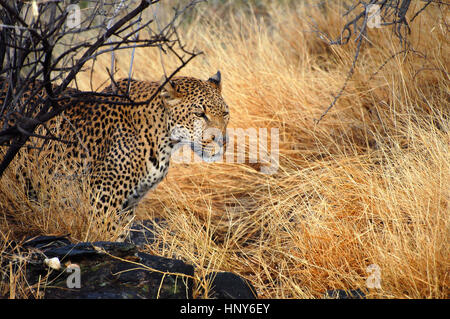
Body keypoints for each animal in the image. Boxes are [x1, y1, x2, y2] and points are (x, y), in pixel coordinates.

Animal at [0, 72, 230, 240]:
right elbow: (107, 239)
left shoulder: (128, 204)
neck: (165, 139)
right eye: (199, 114)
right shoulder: (103, 200)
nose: (222, 141)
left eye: (225, 113)